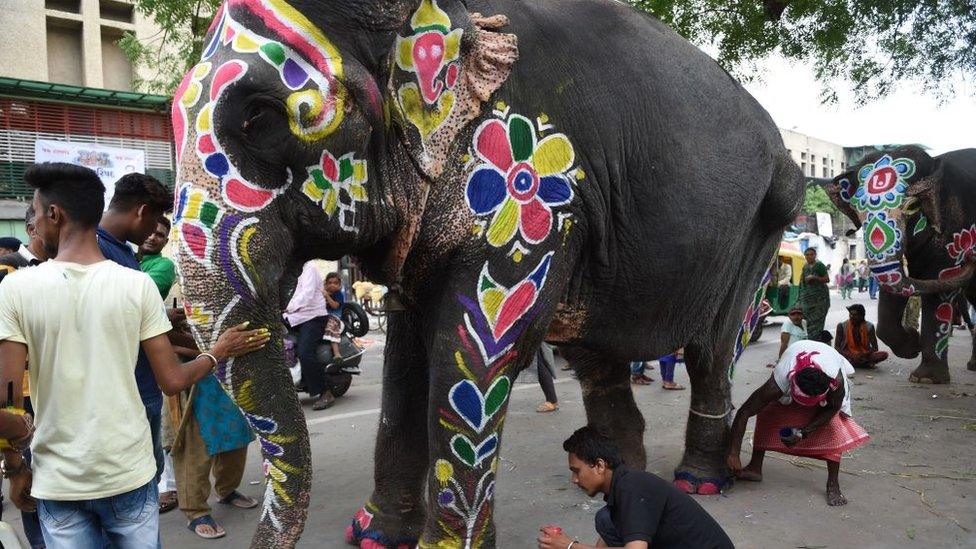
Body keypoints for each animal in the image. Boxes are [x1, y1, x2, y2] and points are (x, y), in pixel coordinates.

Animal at [170, 0, 800, 544]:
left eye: (261, 117)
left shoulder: (542, 200)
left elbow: (472, 351)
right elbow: (405, 356)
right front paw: (374, 536)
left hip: (763, 229)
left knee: (712, 350)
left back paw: (700, 481)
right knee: (596, 352)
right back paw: (621, 474)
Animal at [828, 148, 976, 384]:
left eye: (913, 207)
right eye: (857, 210)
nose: (970, 257)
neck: (934, 163)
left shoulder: (954, 229)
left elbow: (941, 287)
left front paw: (926, 380)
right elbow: (892, 287)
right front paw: (913, 346)